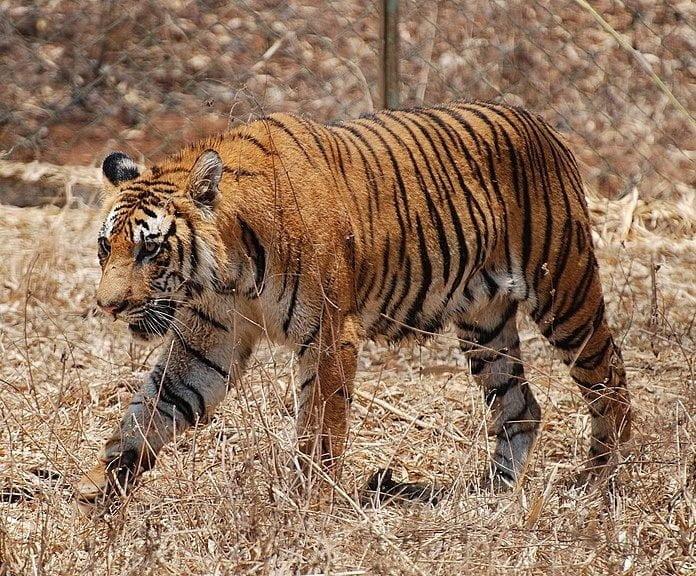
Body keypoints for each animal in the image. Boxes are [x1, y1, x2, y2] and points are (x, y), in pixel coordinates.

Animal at [75, 101, 632, 506]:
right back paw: (490, 494)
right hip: (485, 324)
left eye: (150, 249)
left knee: (609, 378)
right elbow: (149, 412)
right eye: (105, 246)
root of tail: (541, 124)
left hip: (566, 292)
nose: (107, 306)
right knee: (520, 406)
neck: (228, 272)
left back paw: (602, 482)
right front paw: (97, 494)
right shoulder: (206, 343)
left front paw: (309, 506)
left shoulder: (328, 336)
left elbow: (321, 428)